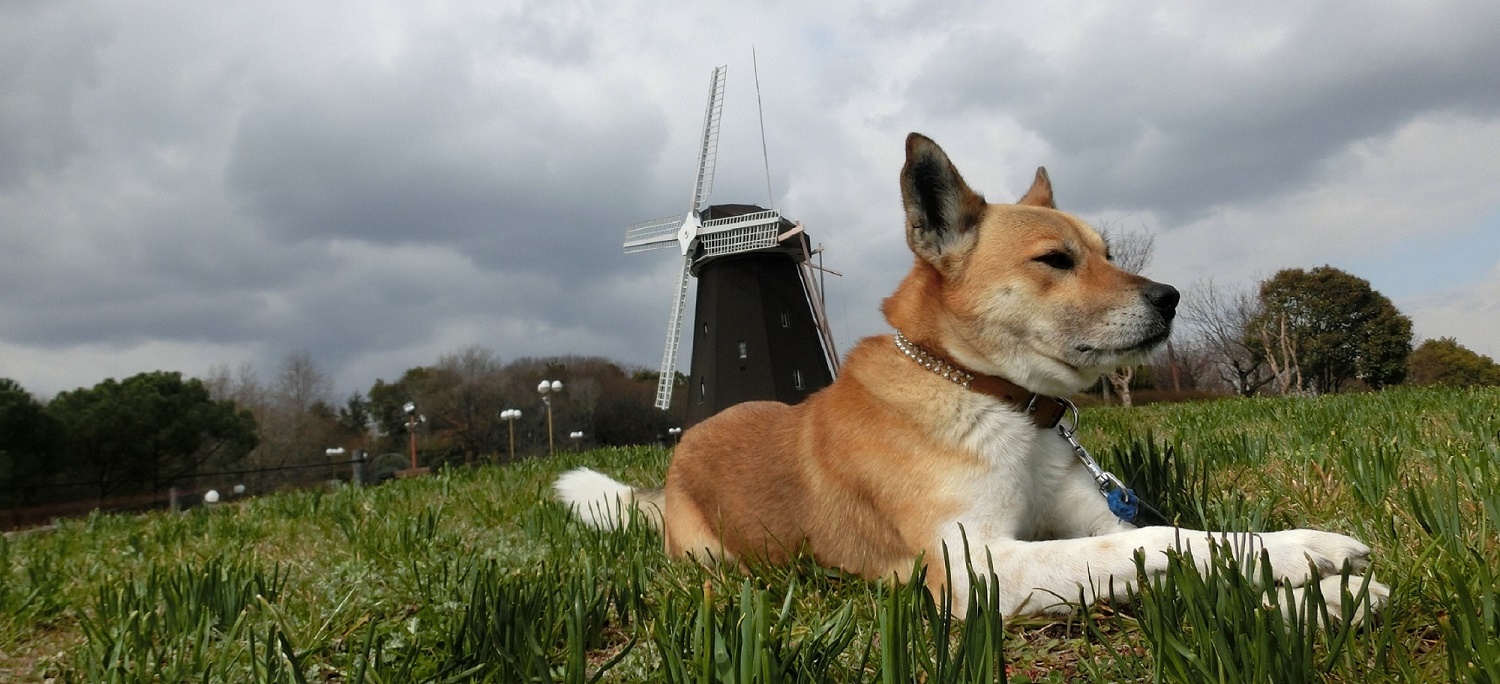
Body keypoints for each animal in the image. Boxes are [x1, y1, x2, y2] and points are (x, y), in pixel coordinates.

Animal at [558, 133, 1386, 621]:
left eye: (1109, 251)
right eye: (1055, 259)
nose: (1170, 298)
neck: (1001, 403)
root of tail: (676, 461)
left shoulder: (1097, 518)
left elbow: (1186, 539)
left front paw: (1311, 582)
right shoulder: (972, 565)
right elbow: (1148, 551)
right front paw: (1306, 568)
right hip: (712, 557)